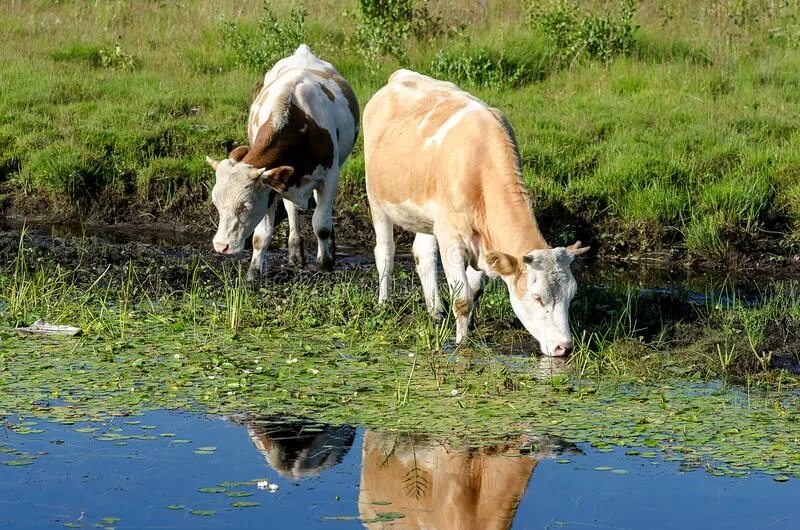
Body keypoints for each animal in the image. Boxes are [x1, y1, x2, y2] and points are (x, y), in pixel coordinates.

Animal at [206, 44, 360, 276]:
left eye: (245, 205)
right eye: (215, 203)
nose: (220, 246)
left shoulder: (329, 177)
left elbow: (321, 225)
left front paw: (324, 264)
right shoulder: (269, 186)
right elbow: (261, 235)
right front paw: (253, 272)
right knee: (291, 210)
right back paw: (295, 253)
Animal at [362, 68, 588, 352]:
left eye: (572, 295)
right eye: (538, 297)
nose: (564, 347)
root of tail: (400, 75)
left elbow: (475, 288)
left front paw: (468, 327)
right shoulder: (451, 238)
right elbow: (463, 299)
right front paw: (461, 344)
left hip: (427, 216)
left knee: (423, 252)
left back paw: (435, 311)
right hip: (376, 198)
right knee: (385, 252)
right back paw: (384, 304)